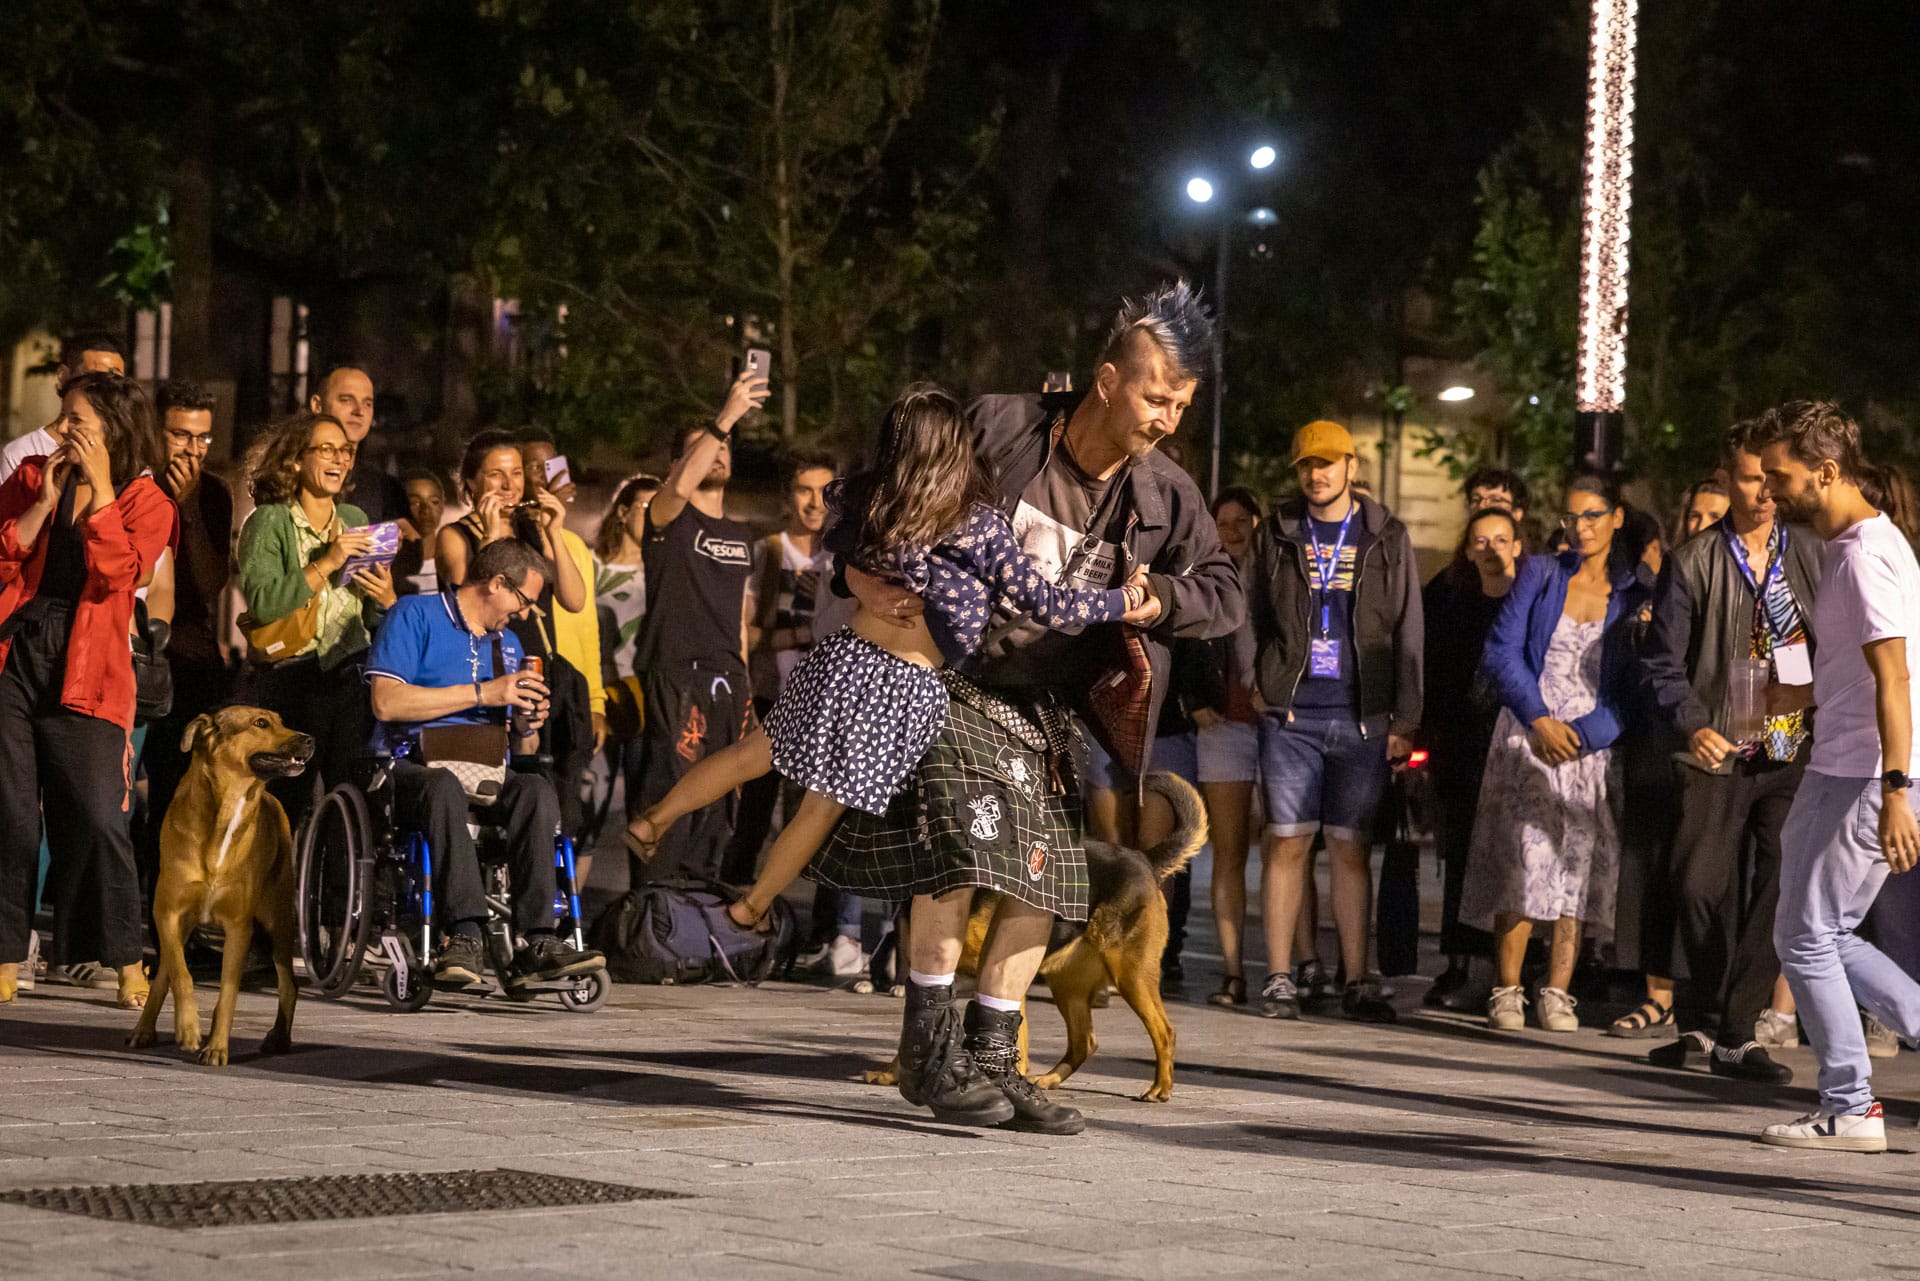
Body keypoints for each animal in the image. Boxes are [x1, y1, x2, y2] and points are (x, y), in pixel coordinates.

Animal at [129, 707, 314, 1066]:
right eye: (260, 723)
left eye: (281, 720)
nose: (310, 739)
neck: (227, 812)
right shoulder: (167, 913)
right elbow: (180, 975)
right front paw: (188, 1029)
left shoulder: (239, 927)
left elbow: (228, 992)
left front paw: (216, 1047)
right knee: (166, 971)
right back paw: (144, 1030)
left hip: (277, 924)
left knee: (289, 984)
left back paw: (279, 1037)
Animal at [868, 771, 1207, 1102]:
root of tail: (1143, 859)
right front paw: (893, 1074)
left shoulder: (999, 970)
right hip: (1068, 986)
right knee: (1084, 1042)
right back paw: (1049, 1079)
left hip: (1130, 974)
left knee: (1164, 1032)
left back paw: (1160, 1088)